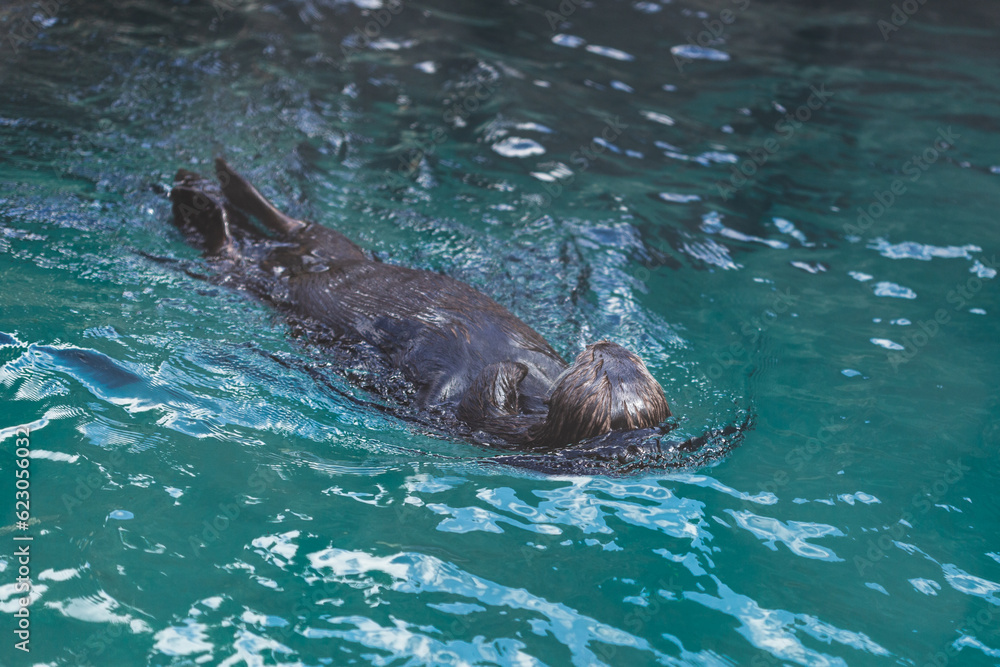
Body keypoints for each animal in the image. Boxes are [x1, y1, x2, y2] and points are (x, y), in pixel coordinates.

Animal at [167, 159, 746, 468]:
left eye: (600, 370)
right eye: (623, 363)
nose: (605, 344)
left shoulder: (486, 427)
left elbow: (457, 399)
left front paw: (513, 369)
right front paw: (528, 364)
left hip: (277, 279)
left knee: (236, 256)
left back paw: (200, 201)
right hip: (334, 245)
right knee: (295, 224)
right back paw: (218, 180)